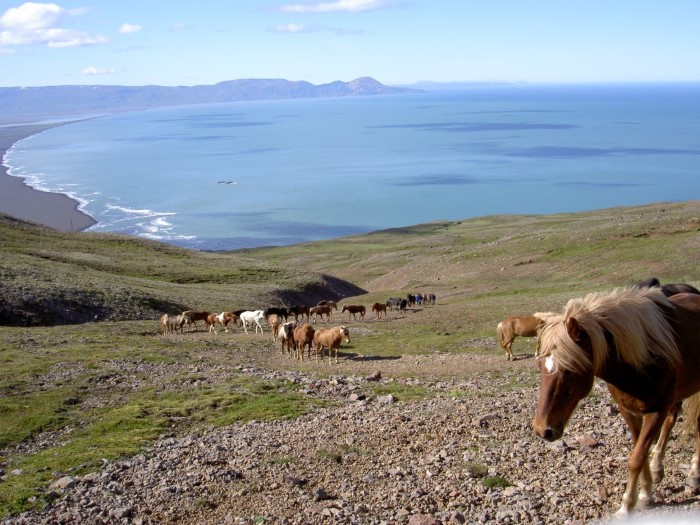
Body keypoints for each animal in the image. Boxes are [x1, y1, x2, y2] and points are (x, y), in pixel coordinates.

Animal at [532, 286, 700, 516]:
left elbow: (636, 458)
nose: (543, 430)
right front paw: (646, 492)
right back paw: (659, 468)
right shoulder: (628, 411)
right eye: (540, 366)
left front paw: (626, 505)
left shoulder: (656, 411)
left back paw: (694, 473)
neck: (641, 362)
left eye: (568, 371)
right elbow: (640, 451)